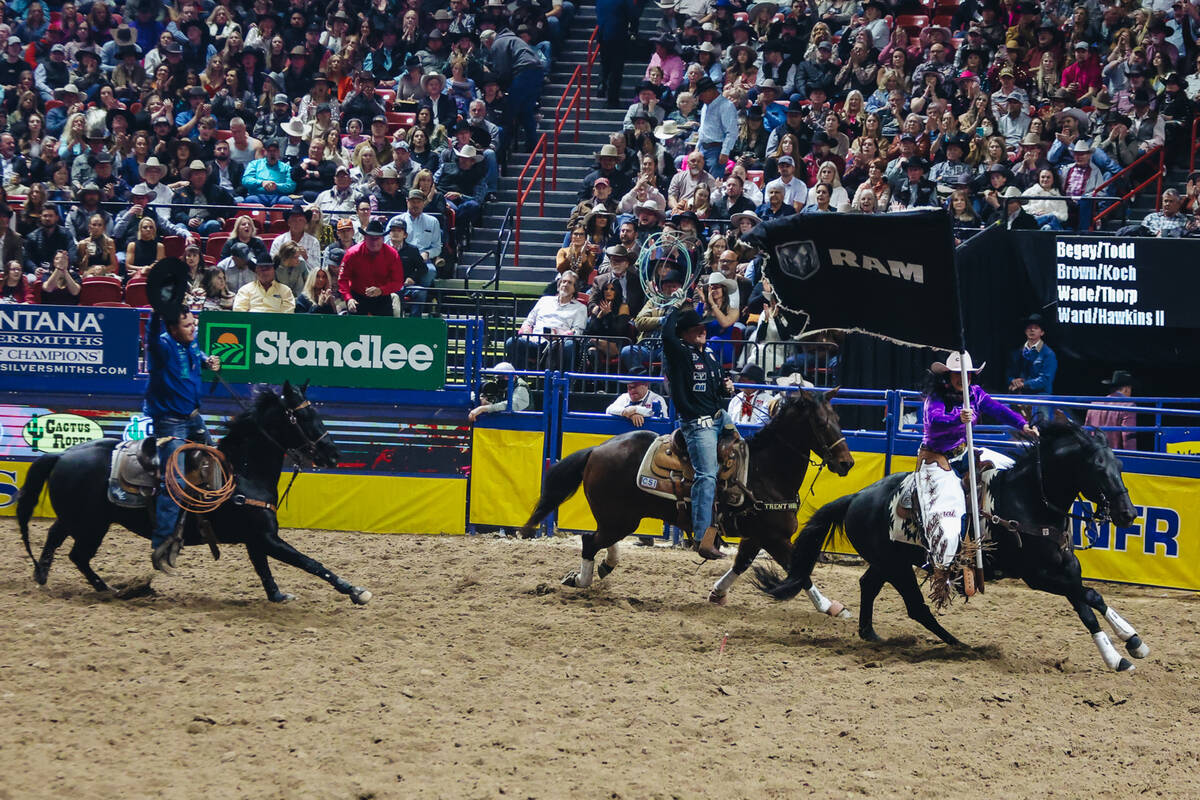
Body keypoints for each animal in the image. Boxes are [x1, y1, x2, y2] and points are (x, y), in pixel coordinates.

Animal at [14, 383, 369, 604]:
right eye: (304, 416)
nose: (333, 453)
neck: (242, 472)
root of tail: (62, 455)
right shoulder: (265, 537)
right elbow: (309, 562)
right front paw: (355, 591)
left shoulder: (256, 539)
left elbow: (264, 569)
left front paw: (278, 596)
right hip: (92, 525)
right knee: (77, 555)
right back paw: (111, 589)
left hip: (78, 519)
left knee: (56, 538)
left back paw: (44, 576)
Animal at [520, 388, 859, 606]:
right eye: (820, 423)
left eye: (839, 419)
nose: (847, 463)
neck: (764, 471)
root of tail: (596, 450)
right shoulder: (773, 537)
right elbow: (800, 574)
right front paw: (832, 608)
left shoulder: (757, 535)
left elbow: (742, 563)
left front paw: (718, 593)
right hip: (621, 518)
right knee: (590, 541)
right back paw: (582, 579)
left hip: (619, 518)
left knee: (598, 538)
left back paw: (603, 566)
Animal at [753, 417, 1147, 671]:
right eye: (1097, 467)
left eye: (1120, 465)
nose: (1128, 513)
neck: (1027, 500)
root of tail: (856, 497)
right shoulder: (1039, 575)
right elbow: (1088, 598)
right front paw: (1124, 650)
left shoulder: (1065, 567)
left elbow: (1088, 601)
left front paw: (1126, 646)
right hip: (898, 567)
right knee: (917, 608)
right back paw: (961, 645)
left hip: (888, 561)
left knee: (868, 585)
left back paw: (870, 633)